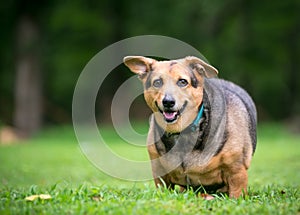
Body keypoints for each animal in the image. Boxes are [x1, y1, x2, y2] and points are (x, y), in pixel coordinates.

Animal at [123, 55, 256, 198]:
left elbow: (235, 196)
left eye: (182, 81)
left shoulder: (236, 173)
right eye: (157, 82)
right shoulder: (160, 174)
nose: (168, 102)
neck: (182, 132)